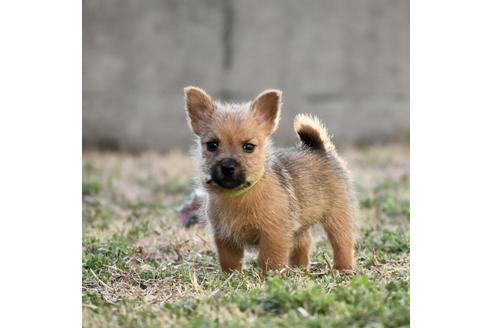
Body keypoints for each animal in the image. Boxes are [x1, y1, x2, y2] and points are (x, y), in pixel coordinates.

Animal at [183, 86, 356, 272]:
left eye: (249, 147)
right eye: (212, 145)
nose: (227, 167)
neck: (241, 194)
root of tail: (317, 148)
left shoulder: (274, 235)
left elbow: (270, 259)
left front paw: (272, 275)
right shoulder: (225, 237)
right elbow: (229, 260)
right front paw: (231, 275)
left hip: (338, 217)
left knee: (342, 243)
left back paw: (343, 268)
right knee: (304, 242)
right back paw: (299, 267)